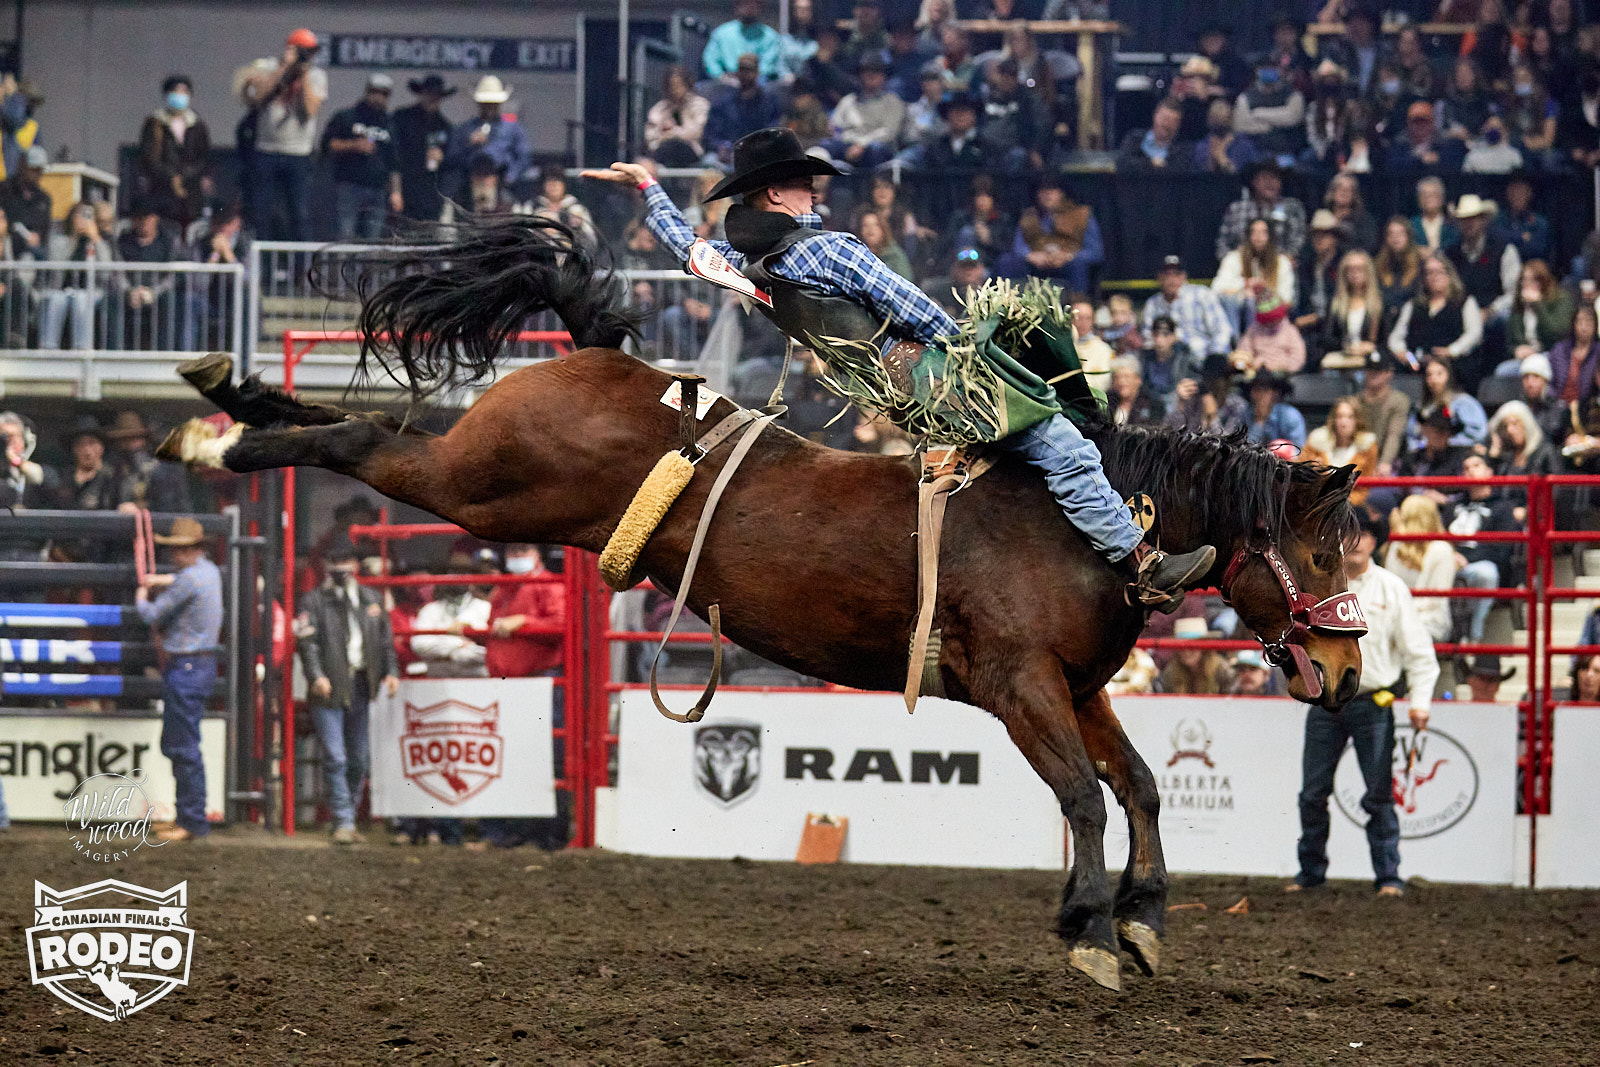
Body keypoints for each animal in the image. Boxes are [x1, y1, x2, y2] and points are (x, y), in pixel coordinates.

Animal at [159, 217, 1363, 991]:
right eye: (1319, 545)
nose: (1352, 670)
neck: (1085, 522)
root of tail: (605, 355)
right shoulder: (1019, 685)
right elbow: (1081, 796)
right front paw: (1088, 930)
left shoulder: (1078, 686)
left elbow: (1143, 785)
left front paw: (1146, 924)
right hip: (482, 482)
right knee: (362, 441)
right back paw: (223, 441)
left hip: (482, 476)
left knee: (358, 426)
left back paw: (224, 400)